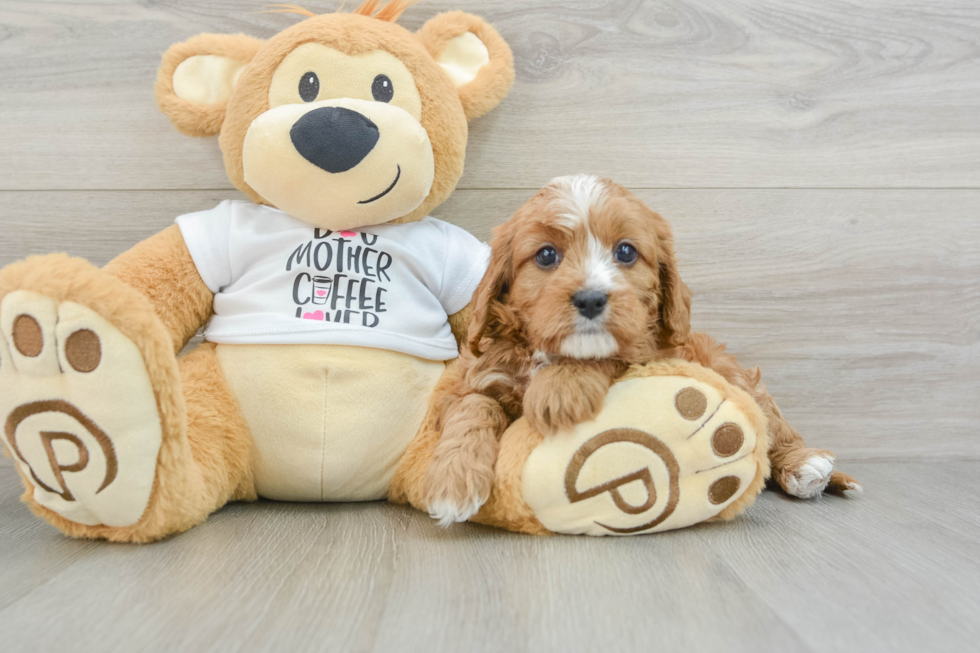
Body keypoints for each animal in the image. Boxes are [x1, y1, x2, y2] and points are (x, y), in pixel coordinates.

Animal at [424, 173, 856, 524]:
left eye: (626, 252)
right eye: (546, 255)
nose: (591, 299)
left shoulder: (647, 354)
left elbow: (613, 354)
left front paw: (560, 390)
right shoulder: (476, 378)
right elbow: (473, 407)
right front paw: (453, 483)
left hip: (730, 370)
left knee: (772, 425)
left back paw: (806, 465)